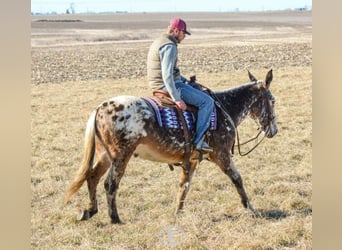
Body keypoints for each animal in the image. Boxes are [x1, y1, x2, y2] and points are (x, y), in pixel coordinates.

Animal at [64, 69, 278, 224]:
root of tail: (100, 108)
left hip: (105, 156)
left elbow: (184, 186)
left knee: (92, 177)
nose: (274, 130)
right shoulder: (222, 155)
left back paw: (90, 211)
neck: (223, 107)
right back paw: (115, 219)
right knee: (110, 184)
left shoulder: (191, 160)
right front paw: (251, 209)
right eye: (273, 100)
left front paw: (177, 213)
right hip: (120, 156)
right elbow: (237, 179)